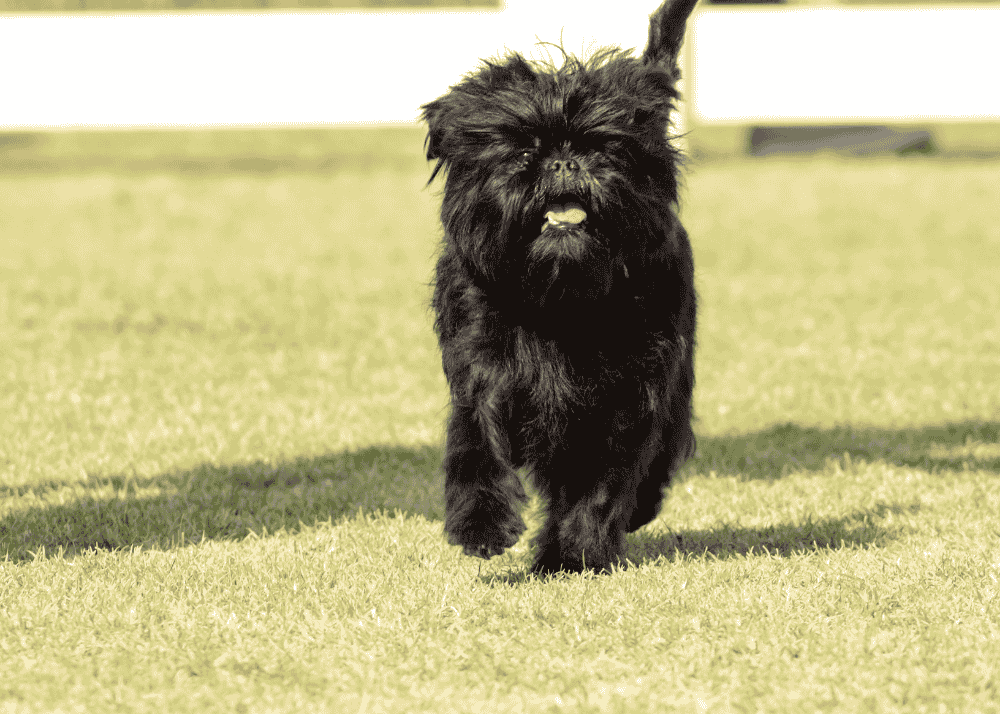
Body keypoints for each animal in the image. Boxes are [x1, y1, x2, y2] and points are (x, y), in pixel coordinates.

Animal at [424, 0, 704, 572]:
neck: (559, 297)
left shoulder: (627, 392)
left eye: (603, 149)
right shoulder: (481, 371)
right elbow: (475, 445)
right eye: (521, 151)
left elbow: (600, 483)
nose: (563, 160)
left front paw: (571, 555)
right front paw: (482, 525)